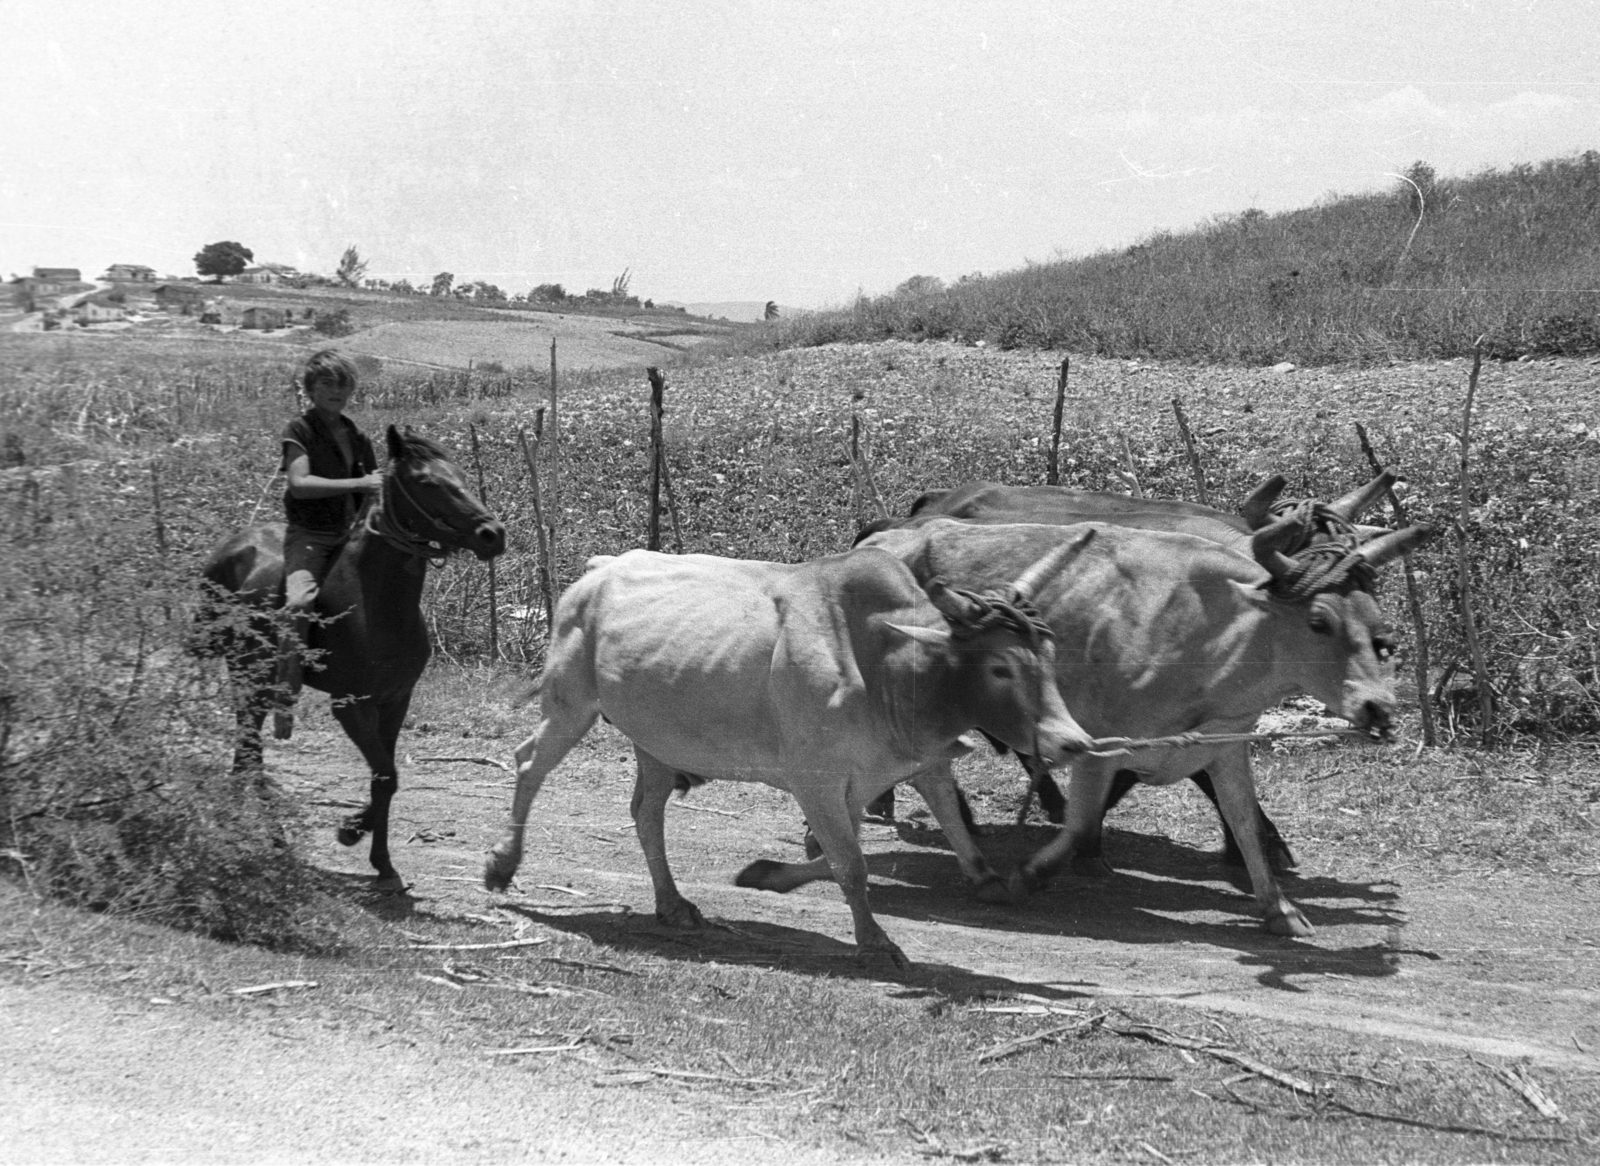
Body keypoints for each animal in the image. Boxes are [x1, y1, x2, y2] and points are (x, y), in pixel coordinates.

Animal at [199, 422, 502, 889]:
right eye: (425, 481)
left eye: (462, 476)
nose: (493, 534)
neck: (378, 603)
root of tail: (230, 547)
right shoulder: (350, 704)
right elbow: (386, 774)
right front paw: (349, 831)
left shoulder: (394, 701)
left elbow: (384, 777)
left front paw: (382, 862)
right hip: (247, 674)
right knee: (248, 747)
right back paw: (250, 831)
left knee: (247, 749)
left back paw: (263, 834)